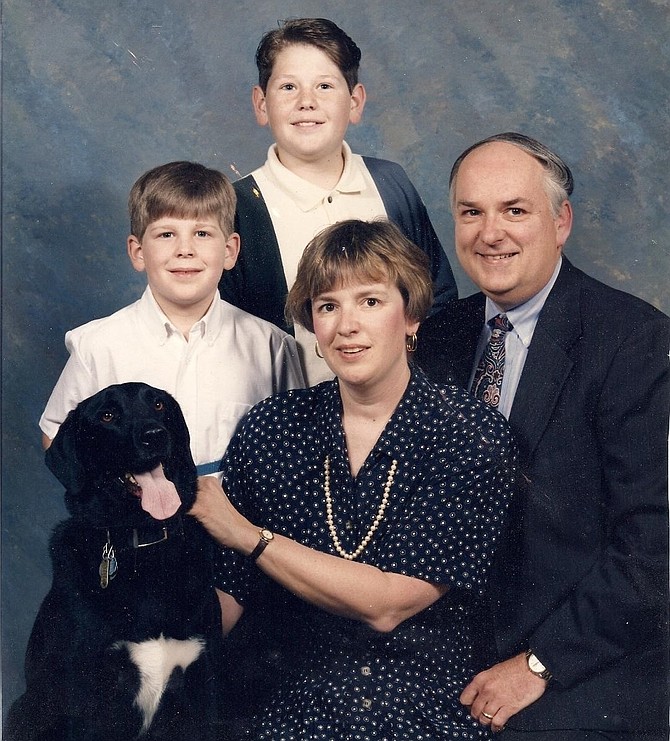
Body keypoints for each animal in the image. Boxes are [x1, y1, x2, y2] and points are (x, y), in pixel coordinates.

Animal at [5, 384, 224, 740]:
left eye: (159, 405)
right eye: (107, 415)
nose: (155, 435)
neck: (144, 547)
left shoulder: (204, 683)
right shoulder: (87, 694)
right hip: (24, 709)